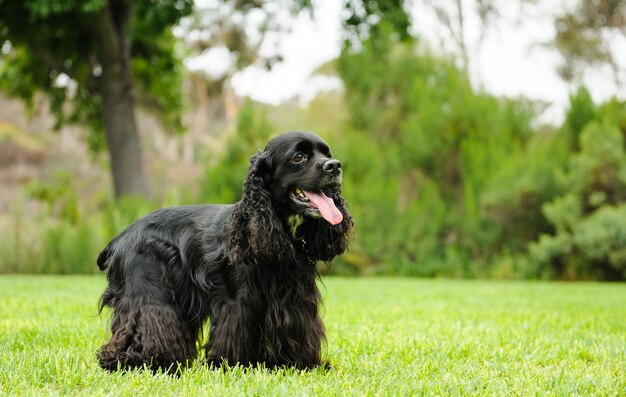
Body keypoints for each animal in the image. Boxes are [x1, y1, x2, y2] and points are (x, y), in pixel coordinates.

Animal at [96, 131, 352, 372]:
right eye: (298, 157)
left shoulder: (295, 298)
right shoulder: (237, 301)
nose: (335, 166)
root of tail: (121, 236)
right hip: (148, 293)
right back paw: (137, 361)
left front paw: (302, 364)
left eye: (327, 154)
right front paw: (235, 364)